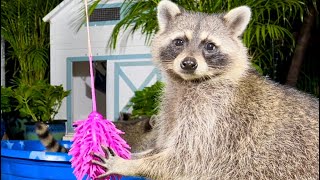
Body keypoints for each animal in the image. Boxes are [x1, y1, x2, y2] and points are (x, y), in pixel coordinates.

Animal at [92, 0, 318, 180]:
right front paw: (132, 155)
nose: (188, 63)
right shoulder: (173, 110)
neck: (189, 82)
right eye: (179, 41)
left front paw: (129, 165)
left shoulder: (213, 120)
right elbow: (163, 147)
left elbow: (186, 158)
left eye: (209, 46)